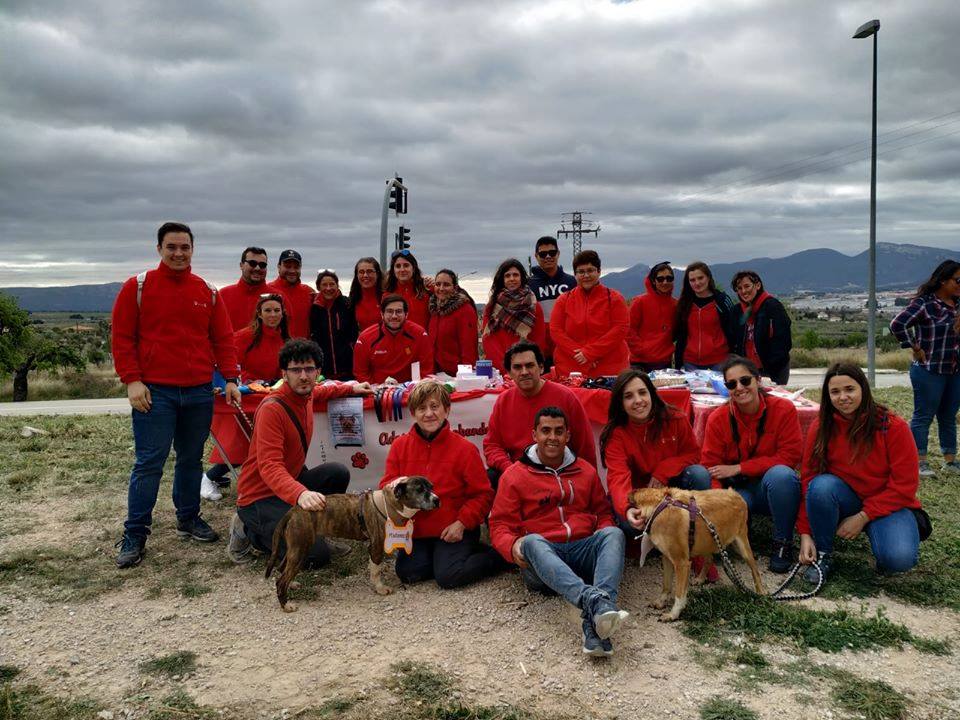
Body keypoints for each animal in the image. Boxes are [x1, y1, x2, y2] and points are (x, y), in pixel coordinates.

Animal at [266, 476, 438, 612]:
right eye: (419, 489)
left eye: (431, 487)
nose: (437, 499)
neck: (391, 505)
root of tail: (293, 511)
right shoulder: (376, 547)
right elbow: (376, 571)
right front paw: (380, 588)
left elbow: (373, 568)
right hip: (301, 549)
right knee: (281, 581)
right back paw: (286, 605)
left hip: (295, 549)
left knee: (281, 569)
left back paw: (292, 584)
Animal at [632, 486, 764, 620]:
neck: (659, 507)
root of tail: (736, 494)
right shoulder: (667, 558)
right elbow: (666, 585)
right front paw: (660, 602)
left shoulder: (682, 563)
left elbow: (679, 594)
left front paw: (673, 614)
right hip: (706, 541)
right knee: (709, 559)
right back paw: (700, 578)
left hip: (741, 544)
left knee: (755, 569)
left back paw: (761, 592)